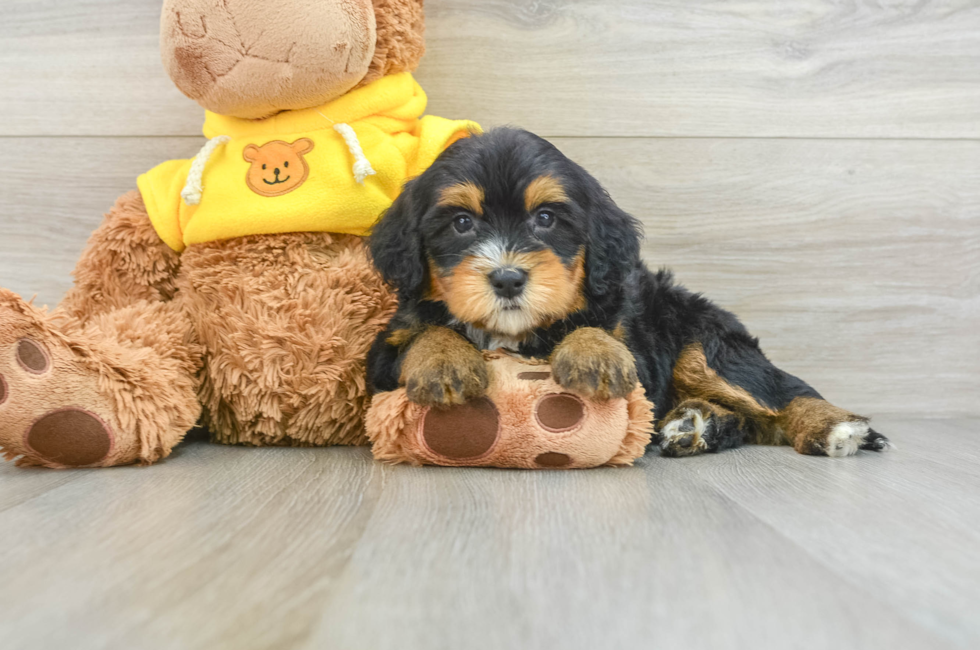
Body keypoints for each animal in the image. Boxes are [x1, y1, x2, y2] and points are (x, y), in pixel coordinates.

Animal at [366, 128, 888, 456]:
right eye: (461, 223)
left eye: (546, 218)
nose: (508, 278)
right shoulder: (382, 356)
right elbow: (420, 336)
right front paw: (444, 361)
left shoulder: (637, 346)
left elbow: (603, 334)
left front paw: (594, 354)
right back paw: (696, 424)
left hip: (704, 343)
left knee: (780, 391)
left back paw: (834, 427)